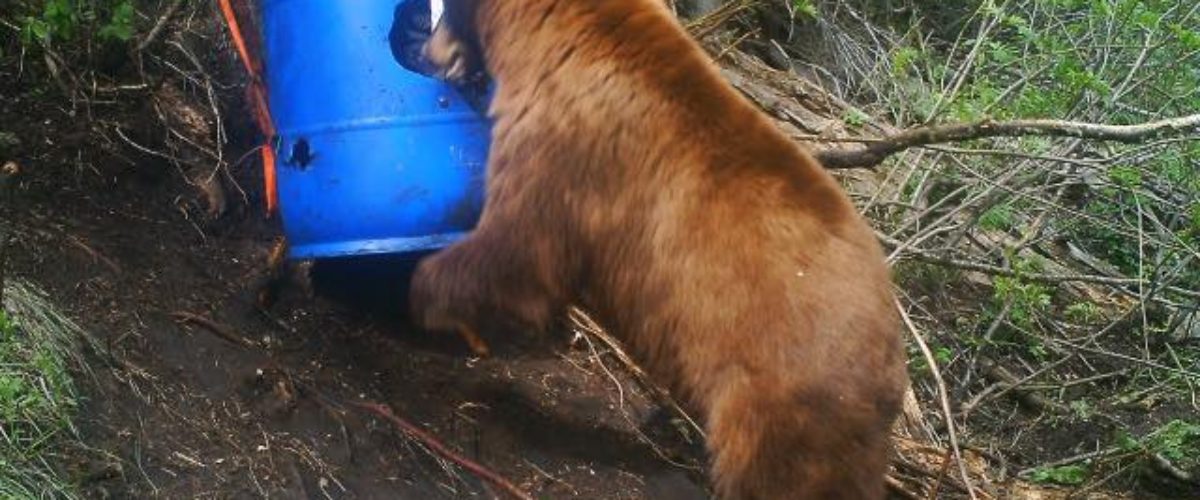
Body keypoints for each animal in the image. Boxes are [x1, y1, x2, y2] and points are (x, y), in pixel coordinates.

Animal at [410, 0, 908, 498]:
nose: (425, 52)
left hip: (779, 400)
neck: (553, 38)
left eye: (444, 13)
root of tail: (892, 367)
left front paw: (426, 298)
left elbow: (518, 249)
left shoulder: (566, 150)